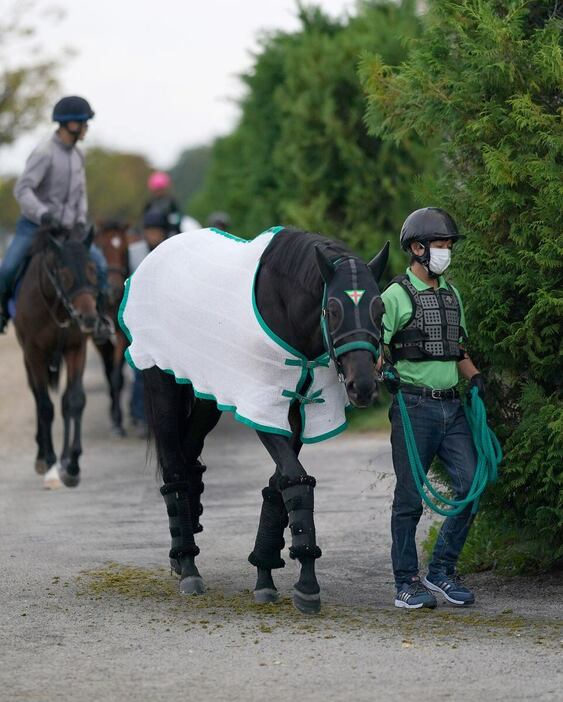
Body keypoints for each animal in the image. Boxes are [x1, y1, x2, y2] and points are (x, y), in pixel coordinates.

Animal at [14, 226, 100, 490]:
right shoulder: (35, 354)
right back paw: (44, 458)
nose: (88, 318)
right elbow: (44, 407)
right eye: (65, 274)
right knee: (37, 396)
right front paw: (52, 467)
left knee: (64, 403)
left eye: (93, 269)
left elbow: (74, 401)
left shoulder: (76, 349)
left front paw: (72, 466)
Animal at [140, 230, 390, 616]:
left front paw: (265, 575)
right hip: (161, 384)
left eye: (380, 309)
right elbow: (295, 482)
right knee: (174, 467)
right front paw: (306, 585)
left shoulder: (296, 413)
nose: (362, 385)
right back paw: (188, 566)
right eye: (333, 310)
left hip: (206, 395)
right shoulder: (263, 407)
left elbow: (280, 487)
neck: (284, 308)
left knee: (189, 452)